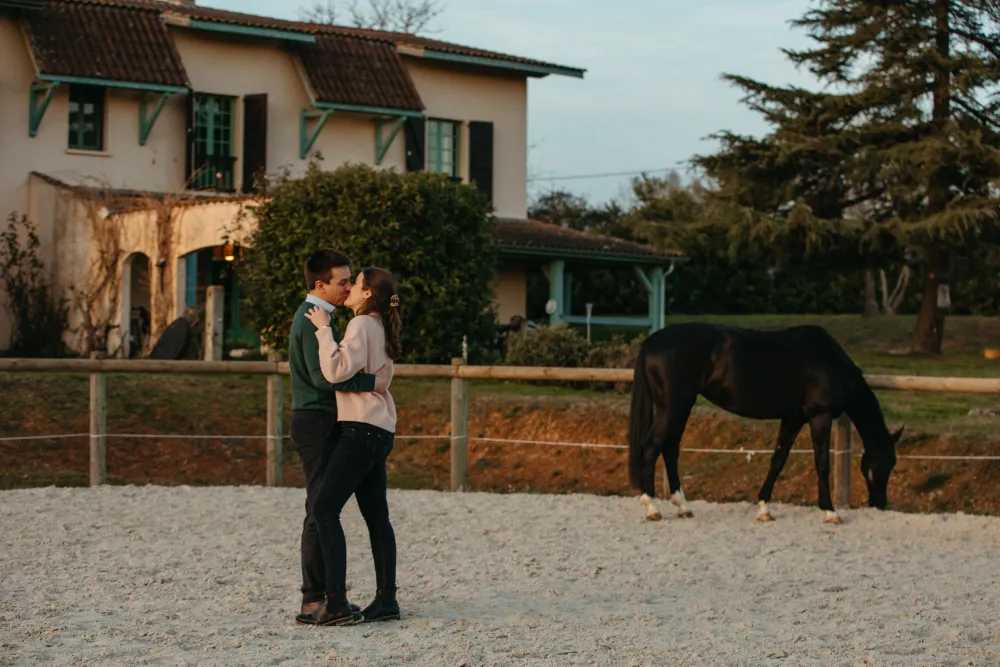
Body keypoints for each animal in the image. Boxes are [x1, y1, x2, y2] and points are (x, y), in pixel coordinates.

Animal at [628, 322, 901, 524]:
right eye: (884, 464)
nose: (880, 503)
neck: (828, 362)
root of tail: (651, 342)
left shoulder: (793, 419)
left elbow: (778, 460)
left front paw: (764, 509)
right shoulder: (819, 417)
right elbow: (822, 463)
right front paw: (830, 511)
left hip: (681, 407)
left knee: (670, 449)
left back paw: (682, 506)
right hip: (672, 407)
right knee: (651, 447)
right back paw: (652, 507)